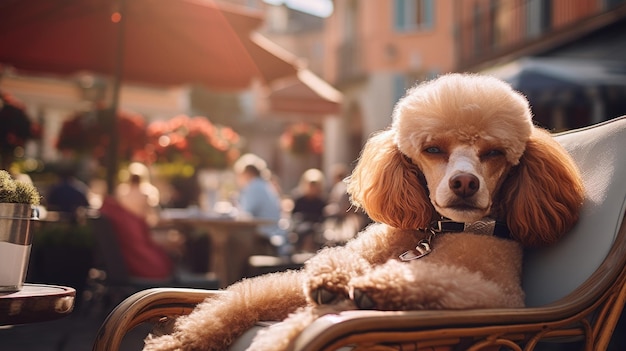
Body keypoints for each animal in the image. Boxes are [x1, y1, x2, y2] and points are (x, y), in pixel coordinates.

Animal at [144, 73, 584, 350]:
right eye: (433, 149)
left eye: (494, 153)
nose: (464, 183)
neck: (440, 231)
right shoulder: (347, 257)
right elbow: (309, 269)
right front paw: (335, 278)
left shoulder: (498, 296)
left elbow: (441, 283)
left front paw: (377, 286)